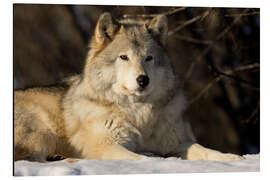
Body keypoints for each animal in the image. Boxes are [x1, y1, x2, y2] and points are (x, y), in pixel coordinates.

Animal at [14, 12, 243, 162]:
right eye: (124, 57)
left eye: (149, 58)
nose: (143, 80)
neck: (138, 114)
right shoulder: (108, 145)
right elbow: (143, 159)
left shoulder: (177, 143)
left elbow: (206, 151)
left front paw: (232, 159)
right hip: (42, 131)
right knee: (28, 159)